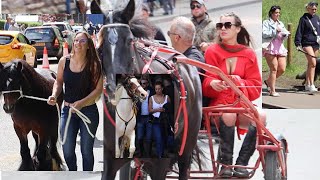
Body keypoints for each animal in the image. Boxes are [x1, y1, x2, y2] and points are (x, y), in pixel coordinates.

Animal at [96, 0, 202, 180]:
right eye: (100, 44)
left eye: (129, 40)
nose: (113, 84)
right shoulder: (111, 158)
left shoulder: (159, 163)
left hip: (187, 143)